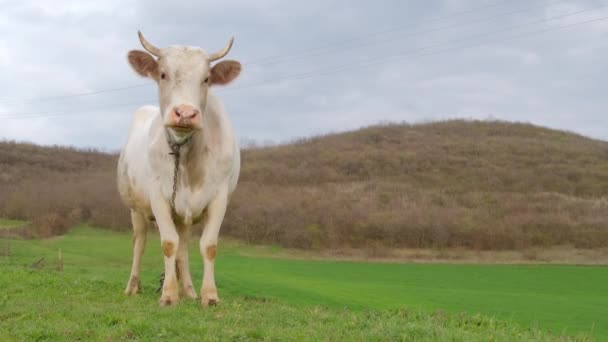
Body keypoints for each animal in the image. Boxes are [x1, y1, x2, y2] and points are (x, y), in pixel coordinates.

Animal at [117, 32, 241, 308]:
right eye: (163, 74)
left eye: (206, 79)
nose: (185, 114)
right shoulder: (158, 196)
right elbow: (168, 244)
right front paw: (169, 295)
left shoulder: (219, 197)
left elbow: (208, 246)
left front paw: (208, 295)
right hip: (135, 208)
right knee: (139, 243)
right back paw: (132, 286)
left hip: (183, 213)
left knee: (183, 249)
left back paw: (189, 291)